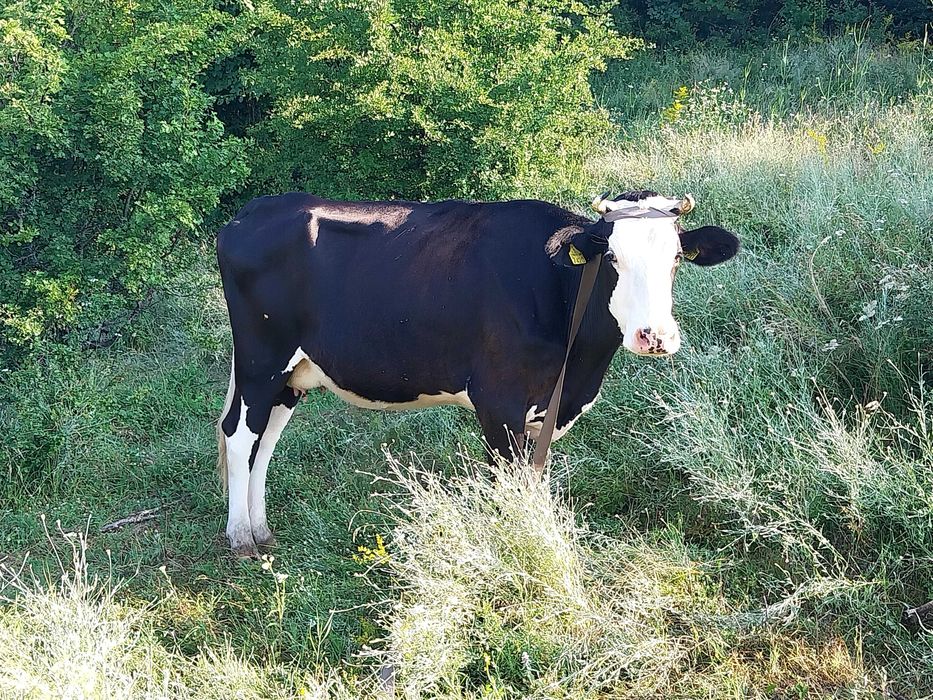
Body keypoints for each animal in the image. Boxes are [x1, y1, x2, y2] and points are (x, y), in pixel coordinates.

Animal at [216, 190, 738, 556]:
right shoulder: (498, 402)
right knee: (240, 435)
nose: (654, 335)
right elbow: (508, 484)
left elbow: (533, 479)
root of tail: (251, 213)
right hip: (262, 359)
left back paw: (262, 529)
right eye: (611, 257)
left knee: (266, 439)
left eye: (676, 257)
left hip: (292, 374)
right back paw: (241, 536)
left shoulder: (542, 408)